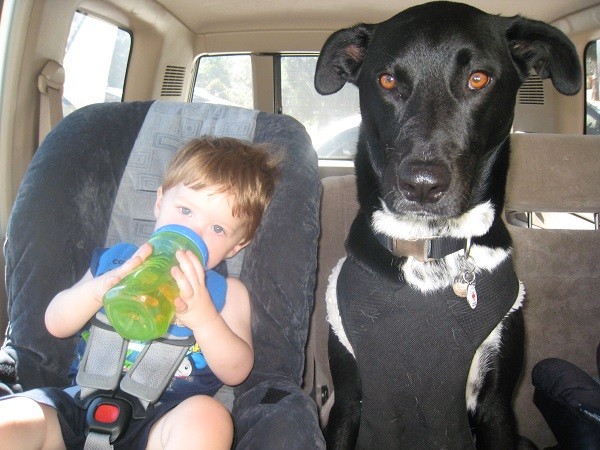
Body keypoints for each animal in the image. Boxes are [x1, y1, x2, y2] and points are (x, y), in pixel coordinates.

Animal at [314, 1, 580, 448]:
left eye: (478, 78)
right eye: (387, 80)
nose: (421, 184)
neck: (429, 246)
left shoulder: (496, 407)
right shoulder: (348, 402)